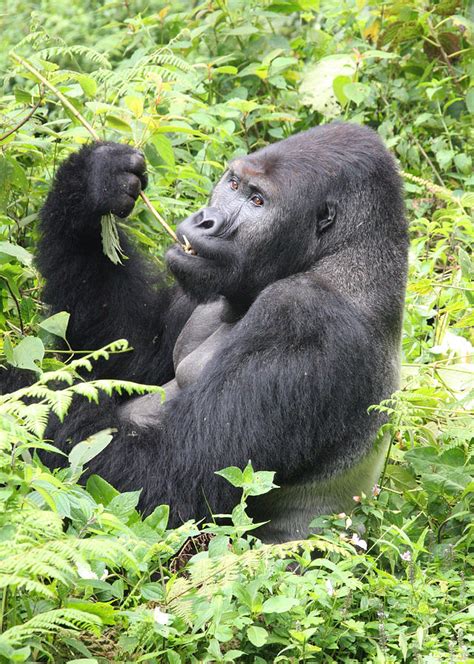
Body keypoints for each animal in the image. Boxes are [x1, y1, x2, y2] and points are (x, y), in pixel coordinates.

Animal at [15, 123, 412, 540]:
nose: (207, 220)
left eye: (258, 201)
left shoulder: (302, 317)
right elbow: (128, 355)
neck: (341, 259)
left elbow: (165, 483)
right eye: (233, 183)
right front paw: (95, 181)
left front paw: (14, 390)